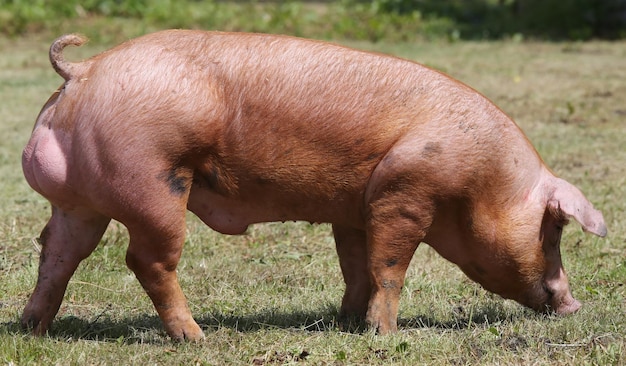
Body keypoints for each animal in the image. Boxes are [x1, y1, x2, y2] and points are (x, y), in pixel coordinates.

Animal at [20, 30, 604, 342]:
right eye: (554, 231)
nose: (574, 305)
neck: (482, 182)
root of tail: (84, 70)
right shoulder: (404, 194)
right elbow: (390, 268)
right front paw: (386, 335)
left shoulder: (357, 209)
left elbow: (357, 267)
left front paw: (347, 322)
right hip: (153, 183)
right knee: (145, 260)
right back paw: (196, 338)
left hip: (78, 202)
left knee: (57, 254)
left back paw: (32, 329)